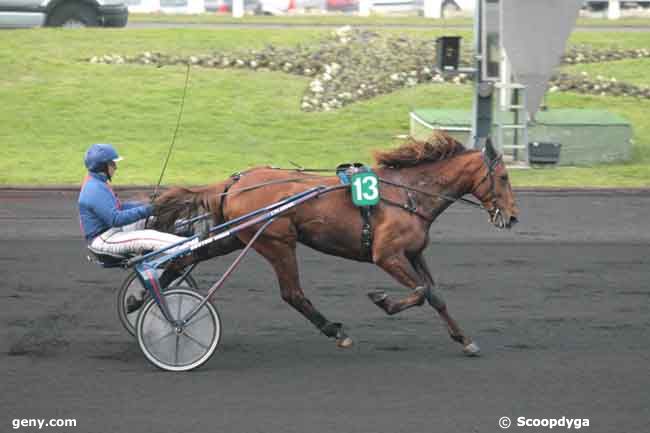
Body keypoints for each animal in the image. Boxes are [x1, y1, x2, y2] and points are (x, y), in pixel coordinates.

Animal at [151, 132, 516, 354]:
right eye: (503, 177)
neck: (409, 195)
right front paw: (382, 299)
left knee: (182, 260)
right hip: (277, 242)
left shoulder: (414, 253)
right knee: (292, 294)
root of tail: (235, 181)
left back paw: (147, 302)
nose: (512, 217)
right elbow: (420, 292)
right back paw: (335, 331)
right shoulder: (387, 255)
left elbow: (435, 295)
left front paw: (464, 340)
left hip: (235, 237)